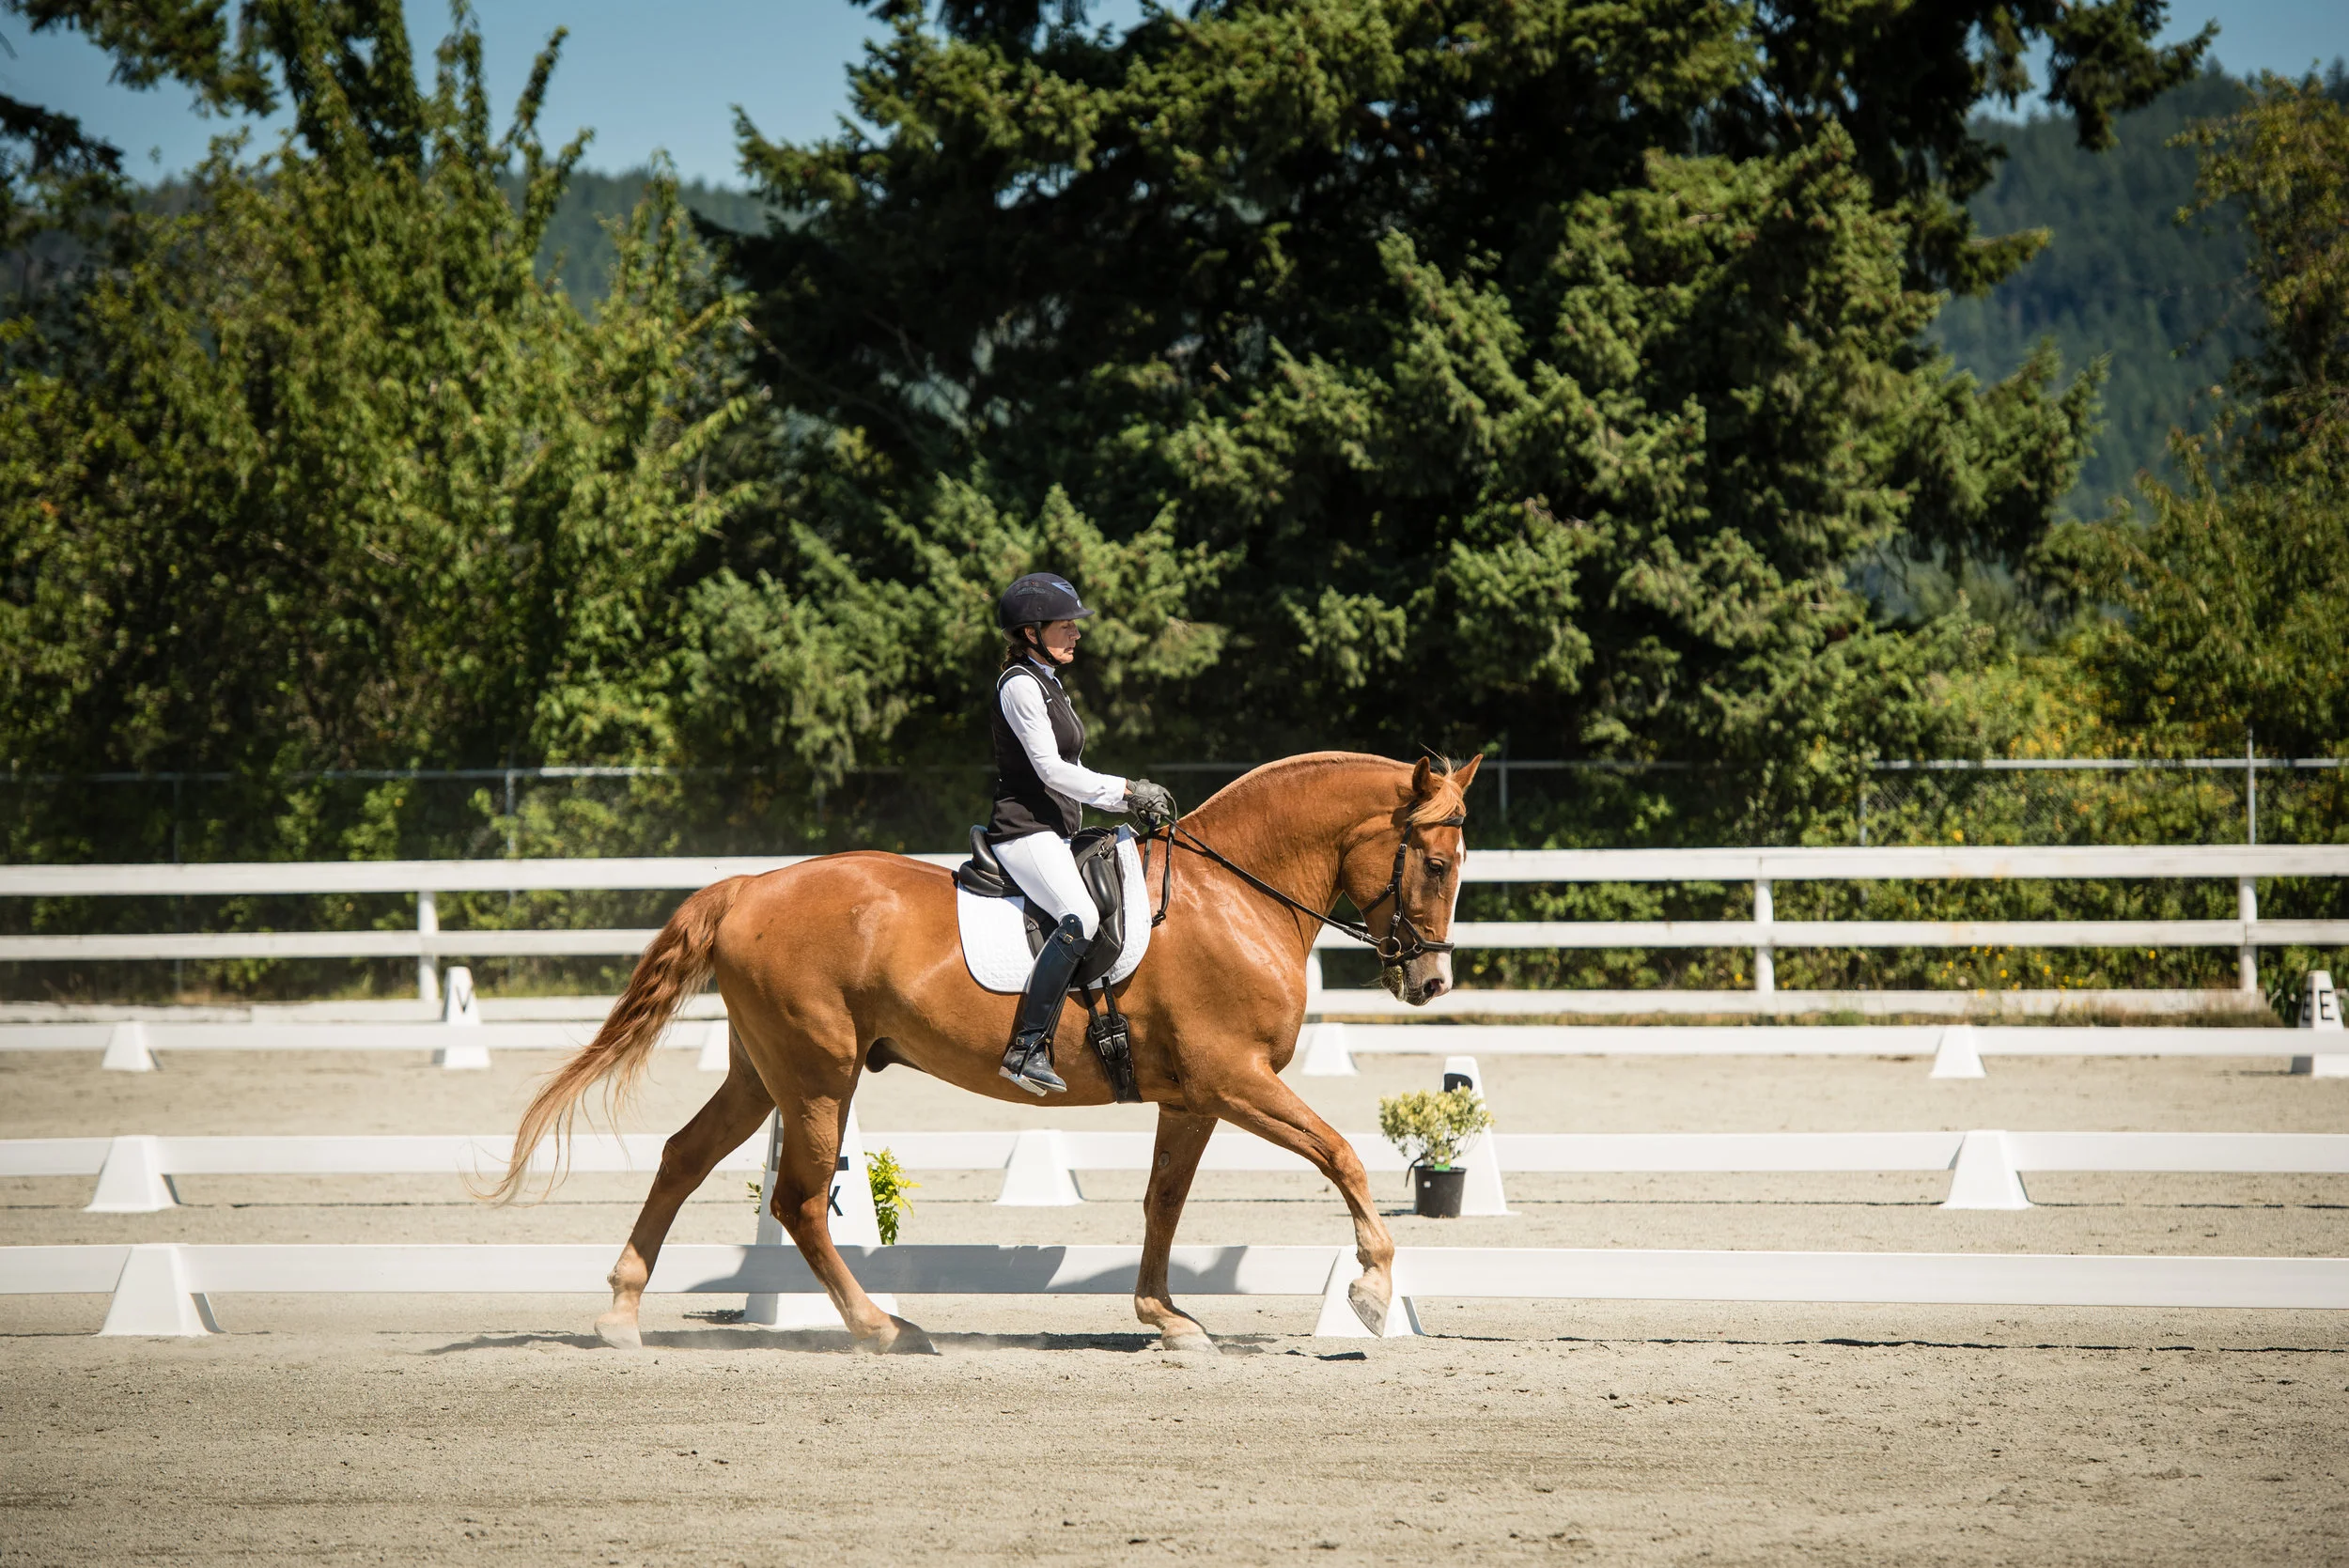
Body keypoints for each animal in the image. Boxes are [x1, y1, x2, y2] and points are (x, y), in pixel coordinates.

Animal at [484, 750, 1481, 1354]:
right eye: (1435, 864)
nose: (1430, 982)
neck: (1235, 898)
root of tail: (749, 887)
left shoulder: (1193, 1096)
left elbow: (1163, 1202)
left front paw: (1165, 1316)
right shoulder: (1236, 1079)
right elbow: (1341, 1153)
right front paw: (1370, 1291)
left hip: (762, 1072)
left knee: (683, 1157)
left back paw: (621, 1314)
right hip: (816, 1076)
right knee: (800, 1199)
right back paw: (883, 1329)